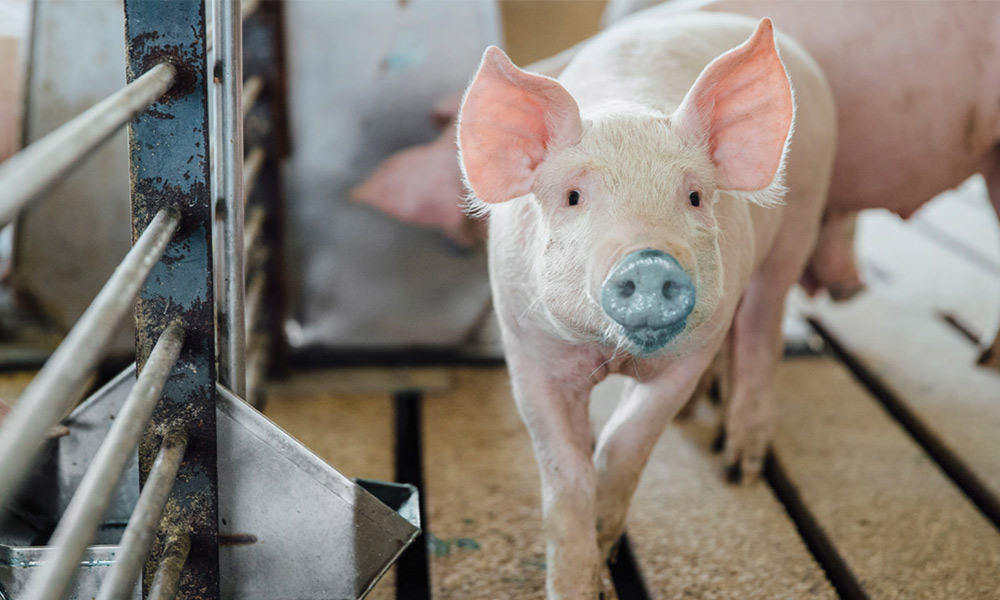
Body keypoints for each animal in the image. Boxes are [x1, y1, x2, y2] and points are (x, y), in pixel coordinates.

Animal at [454, 11, 836, 596]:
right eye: (572, 197)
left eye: (695, 197)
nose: (650, 261)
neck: (612, 354)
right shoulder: (526, 348)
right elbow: (567, 475)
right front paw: (577, 584)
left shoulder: (691, 351)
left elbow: (624, 443)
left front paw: (607, 552)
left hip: (800, 224)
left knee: (761, 325)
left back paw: (738, 468)